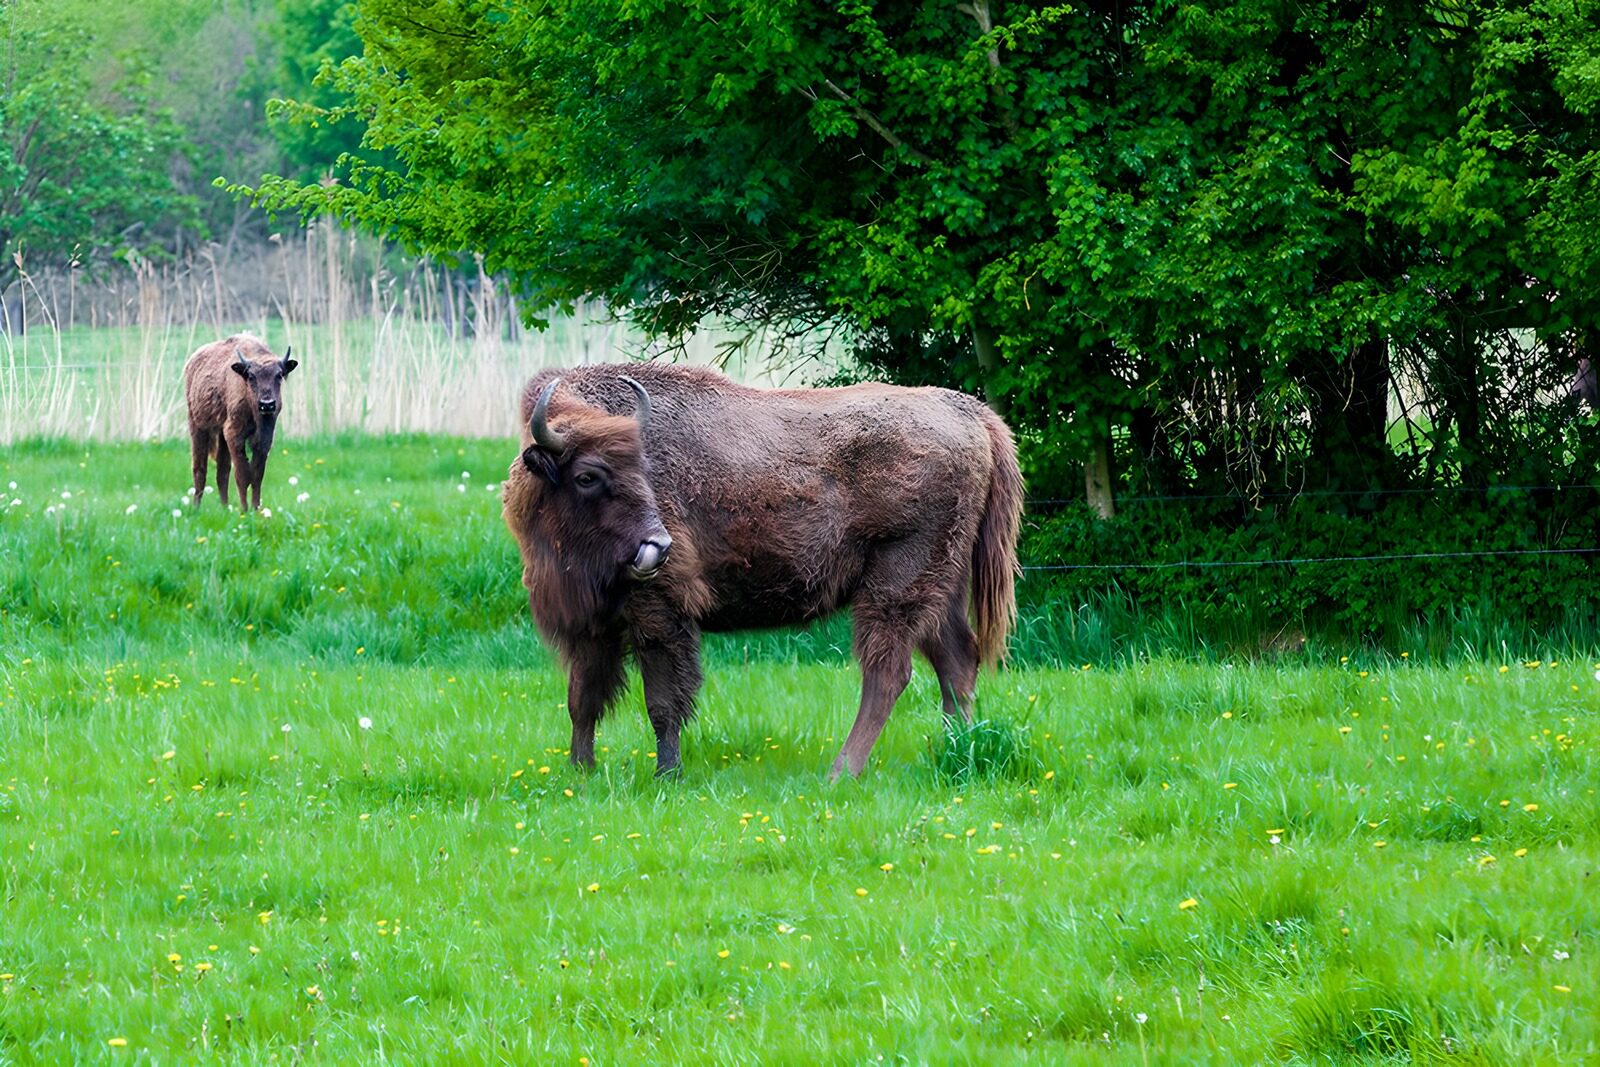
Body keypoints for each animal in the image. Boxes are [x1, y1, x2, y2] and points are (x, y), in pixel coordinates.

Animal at [501, 363, 1023, 779]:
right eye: (588, 475)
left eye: (644, 470)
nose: (660, 547)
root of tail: (973, 414)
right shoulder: (591, 625)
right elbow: (582, 699)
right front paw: (580, 772)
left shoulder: (660, 614)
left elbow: (662, 701)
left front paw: (667, 775)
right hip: (942, 585)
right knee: (956, 661)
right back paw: (957, 749)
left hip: (896, 583)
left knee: (889, 674)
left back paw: (841, 772)